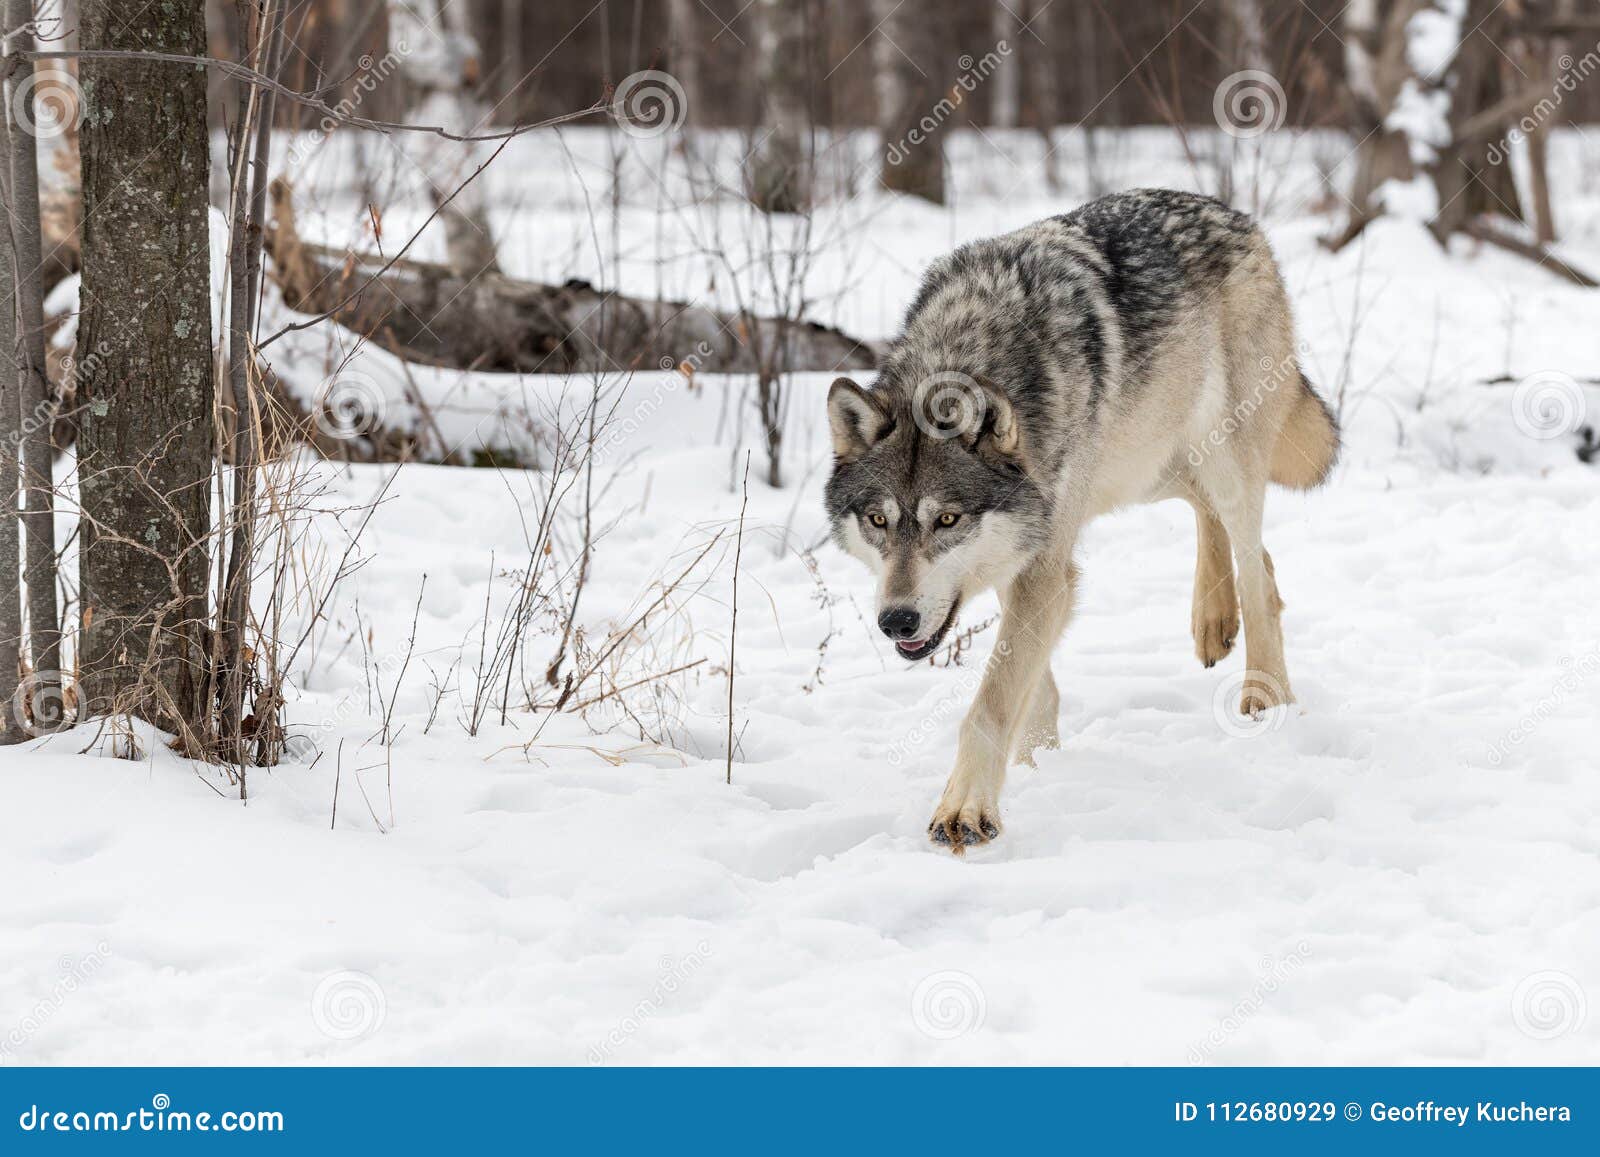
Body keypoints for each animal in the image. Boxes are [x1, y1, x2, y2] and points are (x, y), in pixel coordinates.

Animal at [824, 189, 1338, 853]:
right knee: (1214, 518)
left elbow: (991, 700)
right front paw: (1036, 765)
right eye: (877, 520)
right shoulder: (1033, 555)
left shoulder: (1043, 565)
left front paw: (966, 810)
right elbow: (1031, 684)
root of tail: (1234, 213)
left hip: (1223, 456)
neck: (970, 343)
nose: (896, 620)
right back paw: (1213, 621)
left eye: (948, 519)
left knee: (1260, 573)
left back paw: (1264, 697)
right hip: (1143, 465)